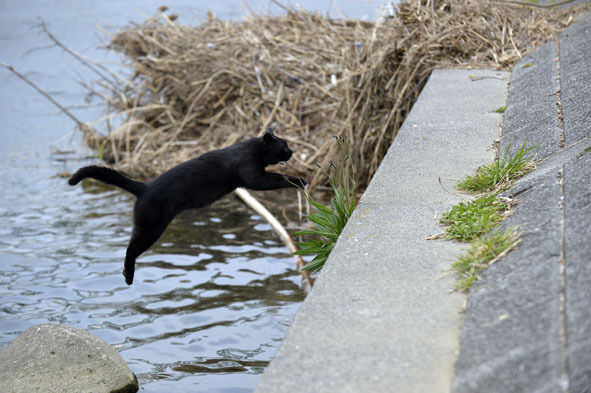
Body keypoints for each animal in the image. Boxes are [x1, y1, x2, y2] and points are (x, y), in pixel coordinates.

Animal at [70, 129, 306, 284]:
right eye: (284, 145)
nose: (292, 151)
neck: (252, 149)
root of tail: (144, 187)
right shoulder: (254, 176)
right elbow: (278, 178)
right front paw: (299, 180)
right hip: (150, 227)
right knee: (131, 249)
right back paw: (128, 276)